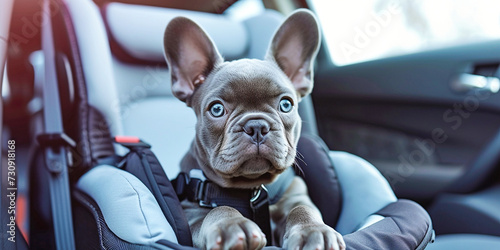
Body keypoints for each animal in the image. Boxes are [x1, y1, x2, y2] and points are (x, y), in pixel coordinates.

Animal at [163, 9, 344, 250]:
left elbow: (302, 209)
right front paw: (232, 225)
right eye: (217, 109)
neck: (252, 189)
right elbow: (217, 211)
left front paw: (314, 230)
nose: (257, 126)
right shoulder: (192, 216)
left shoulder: (296, 196)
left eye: (286, 104)